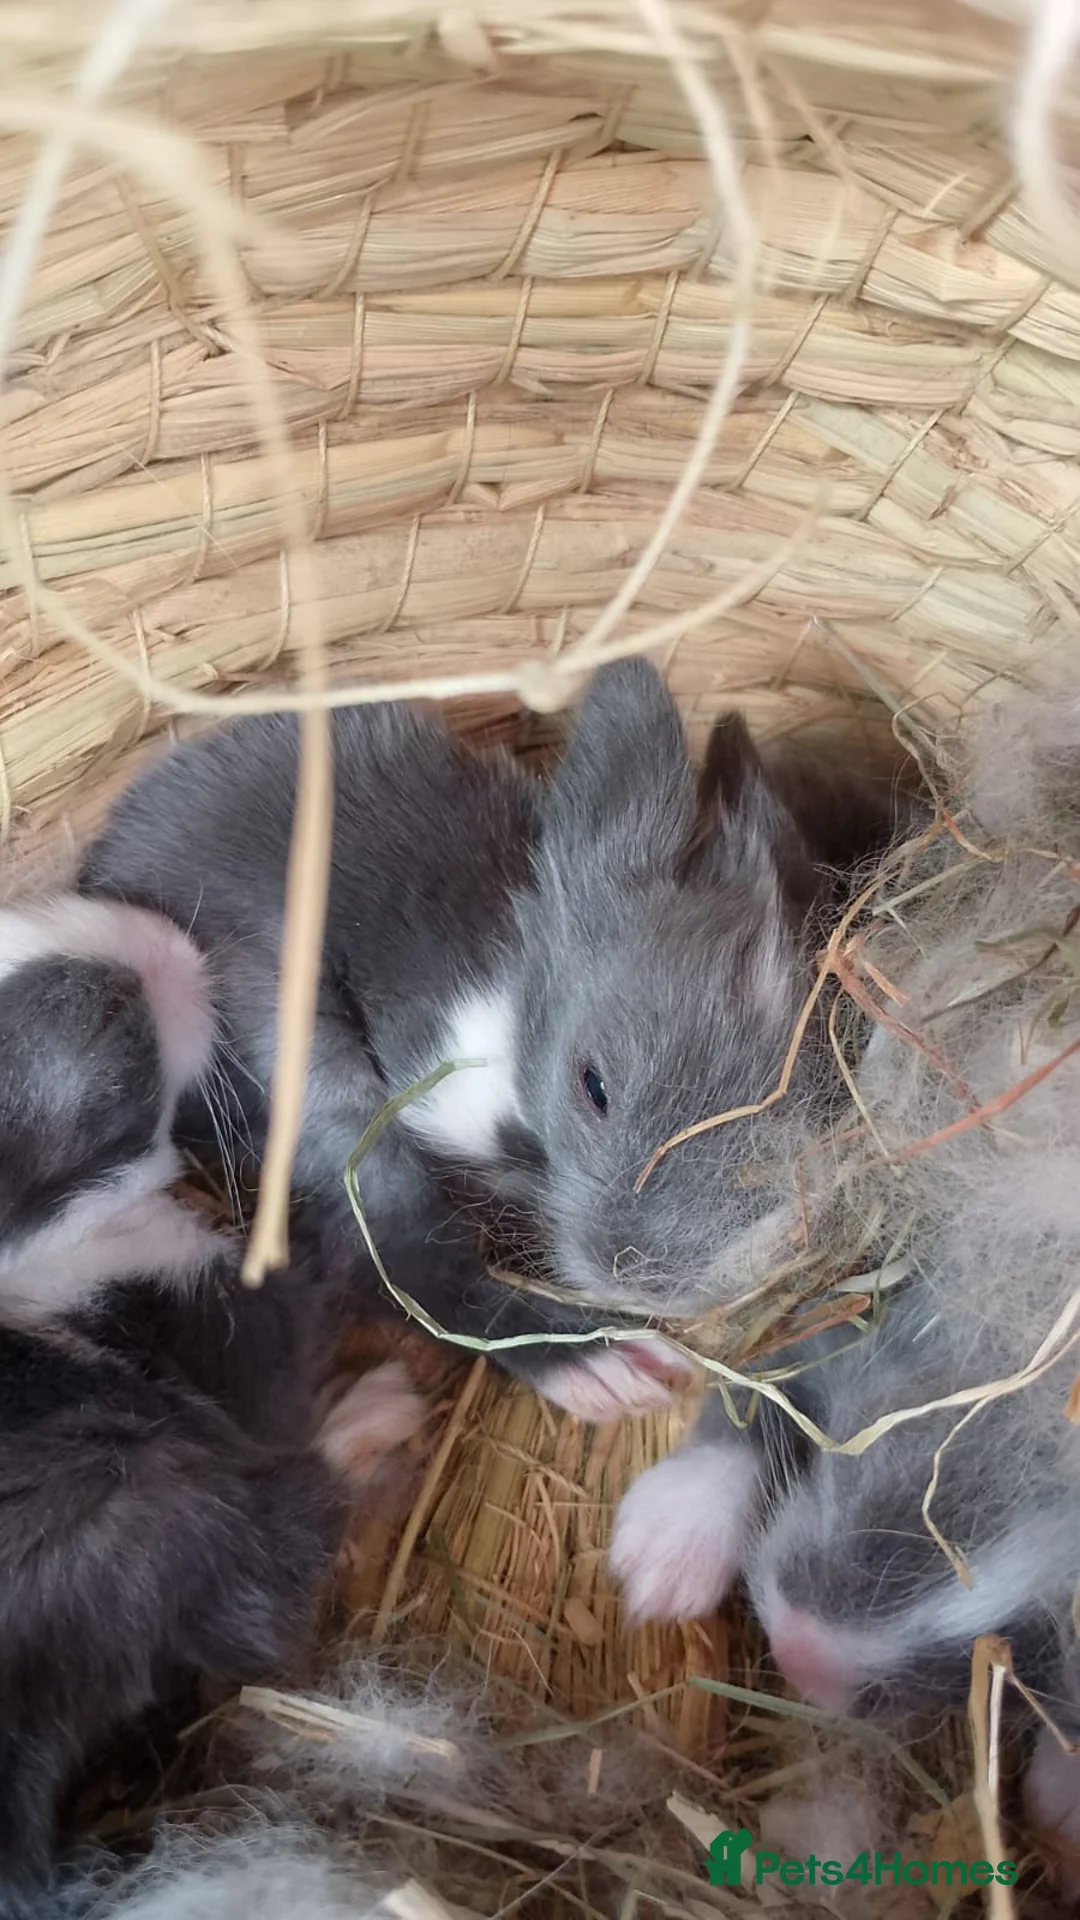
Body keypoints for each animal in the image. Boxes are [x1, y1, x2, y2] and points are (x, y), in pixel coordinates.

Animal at [0, 892, 424, 1915]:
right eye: (108, 1021)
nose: (179, 942)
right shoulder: (194, 1329)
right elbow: (282, 1332)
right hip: (138, 1501)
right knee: (269, 1582)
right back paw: (377, 1413)